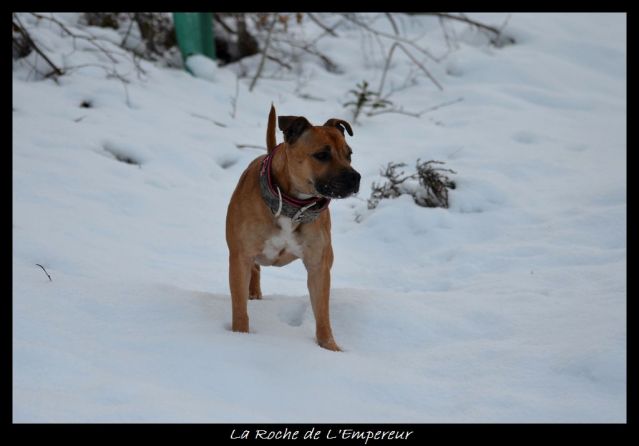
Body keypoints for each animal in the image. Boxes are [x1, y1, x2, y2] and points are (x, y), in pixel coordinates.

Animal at [228, 105, 362, 352]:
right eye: (322, 155)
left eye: (349, 154)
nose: (355, 177)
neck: (292, 205)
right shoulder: (240, 257)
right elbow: (239, 307)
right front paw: (240, 337)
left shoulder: (319, 267)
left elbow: (322, 314)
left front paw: (330, 348)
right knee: (254, 270)